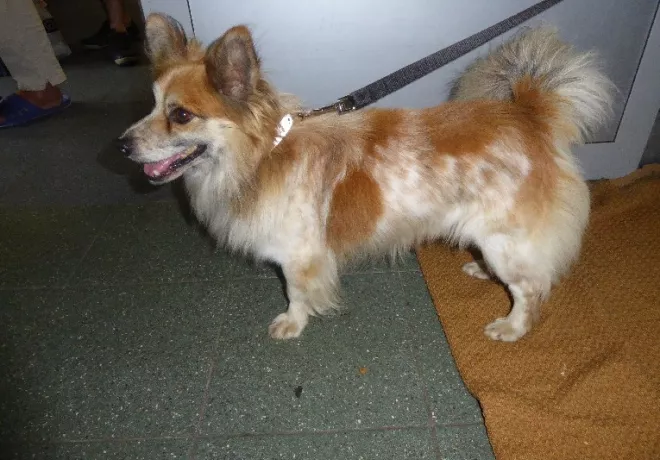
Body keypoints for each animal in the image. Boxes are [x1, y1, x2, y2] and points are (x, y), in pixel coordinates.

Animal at [118, 14, 613, 342]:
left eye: (181, 115)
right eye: (150, 104)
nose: (121, 146)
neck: (261, 158)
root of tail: (529, 113)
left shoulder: (299, 256)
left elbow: (296, 293)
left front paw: (293, 323)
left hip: (506, 240)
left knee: (529, 289)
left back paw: (512, 326)